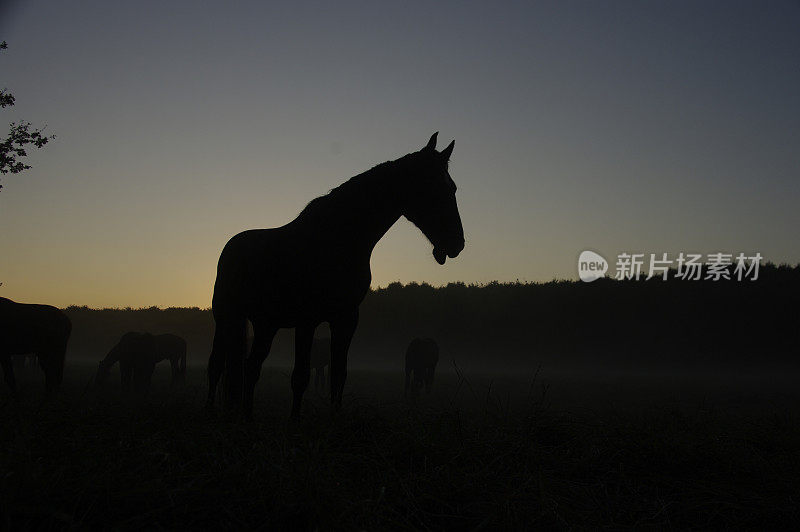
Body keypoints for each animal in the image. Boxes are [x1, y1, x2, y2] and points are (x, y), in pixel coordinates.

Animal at [206, 131, 466, 418]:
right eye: (434, 187)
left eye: (453, 188)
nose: (456, 243)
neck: (337, 239)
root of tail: (231, 246)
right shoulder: (307, 320)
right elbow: (300, 377)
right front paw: (295, 420)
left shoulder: (346, 319)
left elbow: (339, 376)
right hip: (227, 318)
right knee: (216, 367)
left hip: (266, 325)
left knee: (251, 368)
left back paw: (247, 415)